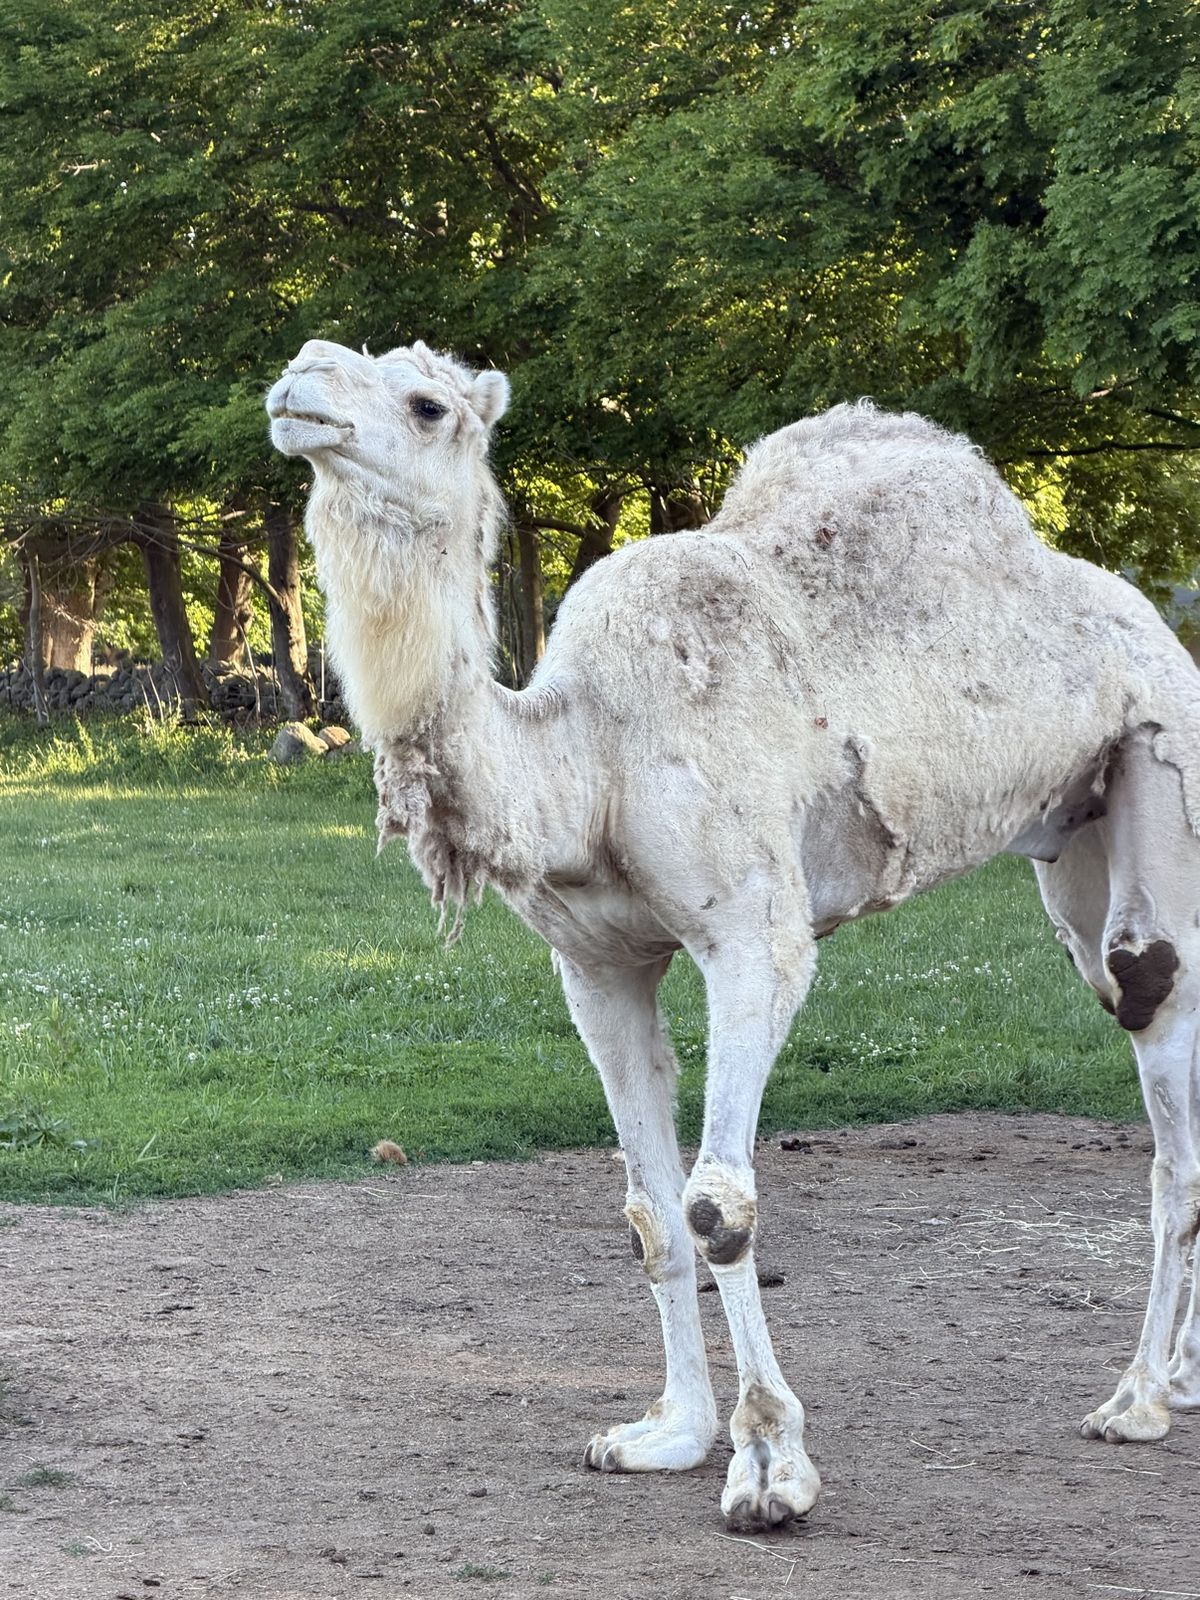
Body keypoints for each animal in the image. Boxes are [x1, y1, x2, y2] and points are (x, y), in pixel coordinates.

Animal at [268, 338, 1200, 1531]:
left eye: (426, 403)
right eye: (323, 358)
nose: (297, 385)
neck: (590, 754)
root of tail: (1156, 625)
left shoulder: (755, 940)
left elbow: (718, 1205)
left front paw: (768, 1467)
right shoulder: (596, 965)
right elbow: (648, 1210)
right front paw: (667, 1433)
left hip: (1160, 756)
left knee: (1153, 1010)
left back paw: (1136, 1399)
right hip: (1070, 839)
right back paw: (1179, 1376)